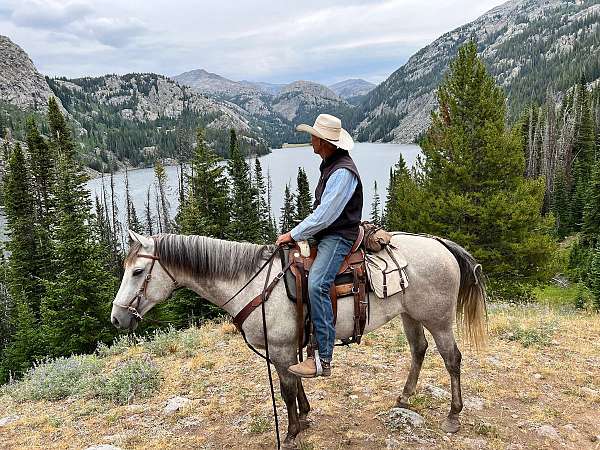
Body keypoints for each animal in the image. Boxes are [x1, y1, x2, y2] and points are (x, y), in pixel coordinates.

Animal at [113, 230, 488, 448]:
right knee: (418, 350)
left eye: (138, 271)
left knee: (452, 359)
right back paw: (405, 398)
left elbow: (287, 389)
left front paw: (293, 431)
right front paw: (306, 416)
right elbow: (297, 380)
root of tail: (440, 243)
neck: (253, 283)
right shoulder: (289, 347)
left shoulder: (279, 349)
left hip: (438, 320)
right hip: (410, 315)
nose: (117, 318)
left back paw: (453, 416)